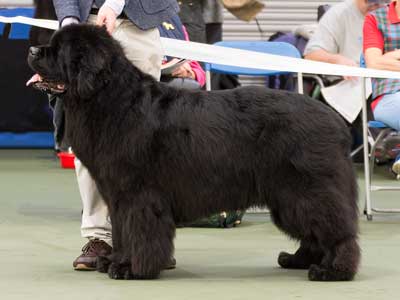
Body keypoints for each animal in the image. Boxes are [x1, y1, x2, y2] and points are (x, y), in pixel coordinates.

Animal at [27, 24, 360, 280]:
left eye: (58, 50)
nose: (31, 50)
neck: (108, 98)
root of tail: (337, 123)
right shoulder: (117, 194)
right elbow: (121, 232)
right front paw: (115, 262)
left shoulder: (138, 195)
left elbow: (139, 231)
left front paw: (132, 269)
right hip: (286, 197)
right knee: (314, 233)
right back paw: (298, 260)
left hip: (305, 189)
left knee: (336, 229)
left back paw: (334, 270)